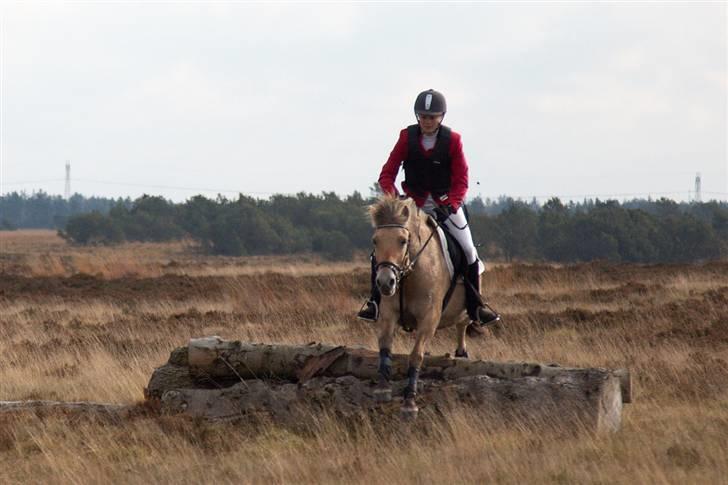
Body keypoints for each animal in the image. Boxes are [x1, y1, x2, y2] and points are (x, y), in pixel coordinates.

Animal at [370, 195, 472, 414]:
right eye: (375, 241)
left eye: (402, 241)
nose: (385, 282)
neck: (409, 273)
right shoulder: (388, 312)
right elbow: (385, 345)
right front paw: (382, 388)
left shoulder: (429, 319)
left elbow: (416, 355)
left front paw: (410, 402)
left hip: (465, 310)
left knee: (462, 325)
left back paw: (461, 353)